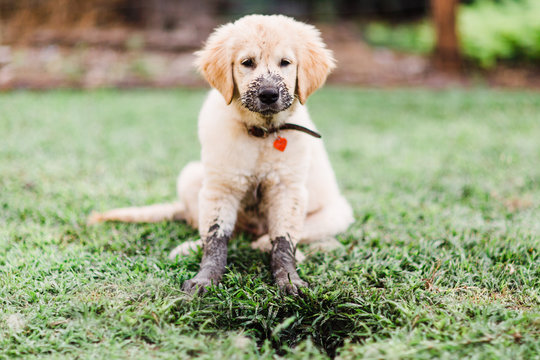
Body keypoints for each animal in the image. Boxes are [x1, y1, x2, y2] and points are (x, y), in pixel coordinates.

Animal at [89, 14, 354, 296]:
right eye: (247, 62)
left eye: (285, 62)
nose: (269, 94)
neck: (261, 133)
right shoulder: (220, 186)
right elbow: (215, 238)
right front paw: (205, 278)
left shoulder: (287, 189)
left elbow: (283, 241)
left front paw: (289, 279)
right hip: (192, 176)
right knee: (221, 232)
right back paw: (189, 247)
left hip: (336, 212)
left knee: (290, 237)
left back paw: (274, 246)